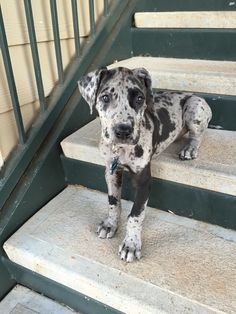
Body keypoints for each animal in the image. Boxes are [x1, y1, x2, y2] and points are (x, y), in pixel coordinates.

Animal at [78, 68, 212, 262]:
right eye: (105, 97)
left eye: (140, 98)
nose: (123, 131)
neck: (121, 150)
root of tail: (191, 94)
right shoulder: (111, 172)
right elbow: (113, 202)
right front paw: (110, 224)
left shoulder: (143, 181)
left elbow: (135, 215)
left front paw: (131, 244)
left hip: (194, 108)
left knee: (197, 136)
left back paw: (190, 148)